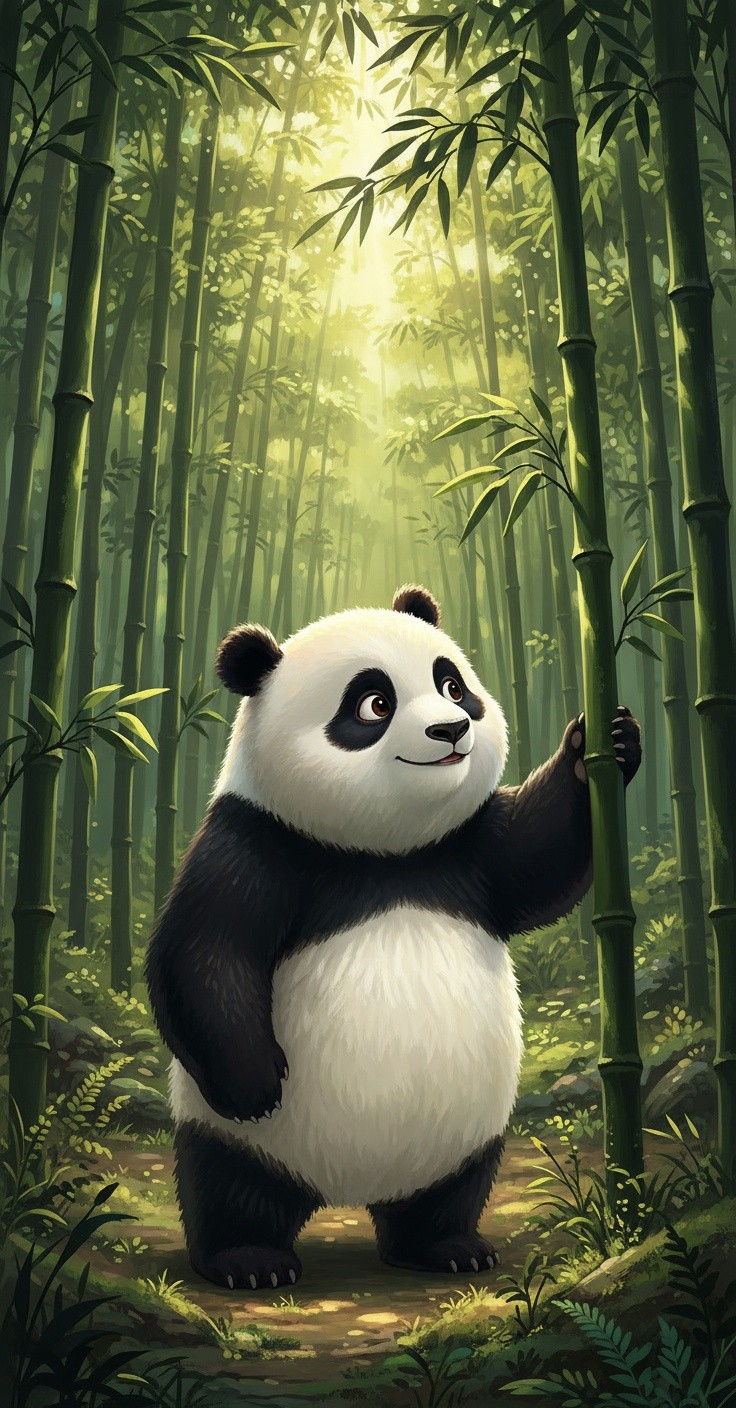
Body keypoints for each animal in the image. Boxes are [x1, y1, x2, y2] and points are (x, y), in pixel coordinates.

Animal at [147, 584, 641, 1291]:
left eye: (452, 684)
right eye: (374, 704)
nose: (451, 729)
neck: (385, 851)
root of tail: (347, 1190)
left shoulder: (464, 847)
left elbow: (538, 861)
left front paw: (604, 743)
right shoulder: (256, 838)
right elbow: (203, 950)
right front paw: (257, 1082)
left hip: (464, 1131)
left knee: (449, 1190)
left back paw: (447, 1248)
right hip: (230, 1132)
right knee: (229, 1184)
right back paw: (249, 1260)